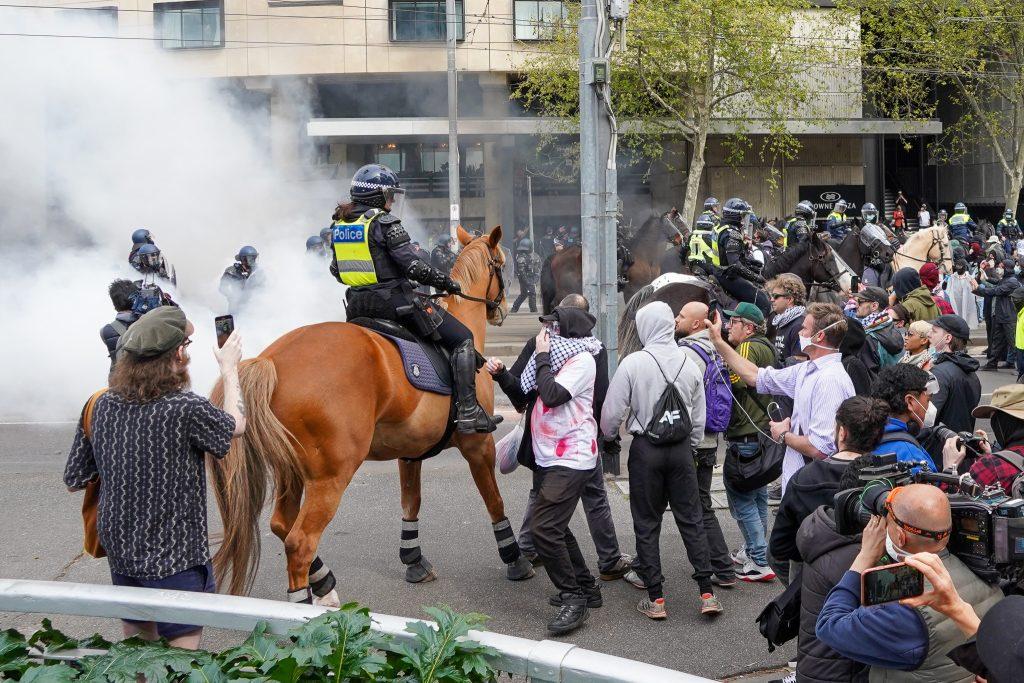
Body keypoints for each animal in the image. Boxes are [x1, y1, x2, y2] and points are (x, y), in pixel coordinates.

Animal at [203, 227, 532, 602]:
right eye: (500, 263)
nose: (501, 309)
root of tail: (271, 359)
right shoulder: (478, 446)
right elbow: (495, 501)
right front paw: (514, 558)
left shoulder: (410, 453)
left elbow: (411, 503)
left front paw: (413, 560)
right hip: (332, 475)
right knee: (299, 542)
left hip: (292, 471)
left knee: (281, 526)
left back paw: (324, 581)